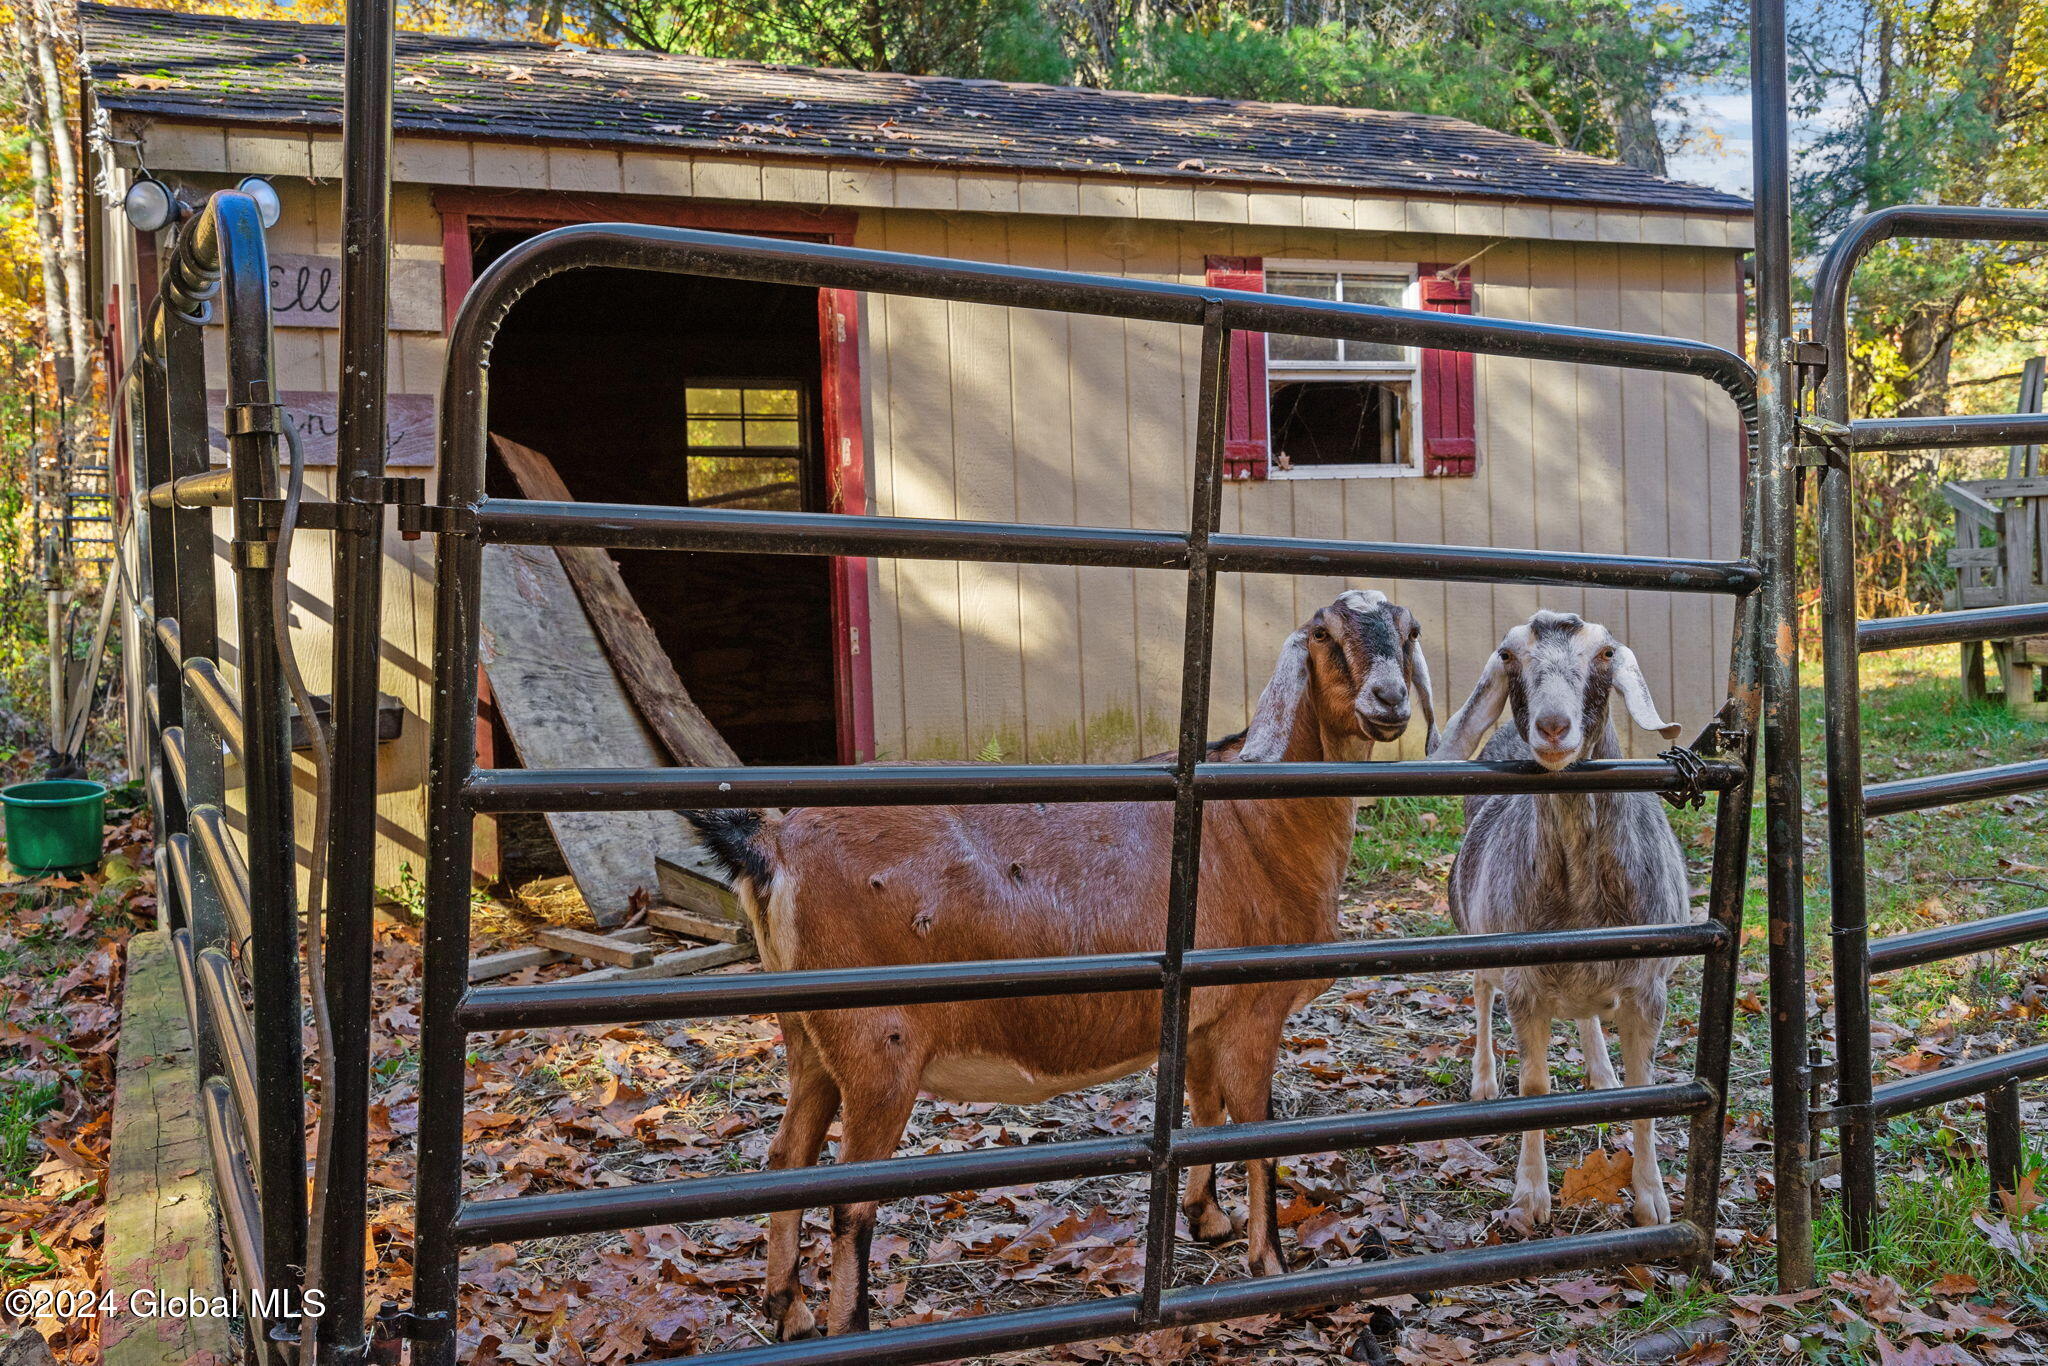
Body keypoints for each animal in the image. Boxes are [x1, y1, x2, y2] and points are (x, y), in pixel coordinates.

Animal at [688, 589, 1441, 1335]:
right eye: (1323, 634)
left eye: (1409, 630)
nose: (1388, 699)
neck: (1260, 826)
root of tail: (773, 844)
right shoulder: (1252, 1010)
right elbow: (1257, 1133)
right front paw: (1273, 1267)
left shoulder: (1204, 1014)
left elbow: (1202, 1113)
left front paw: (1208, 1219)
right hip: (879, 1044)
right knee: (851, 1199)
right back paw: (848, 1325)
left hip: (809, 1034)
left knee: (788, 1158)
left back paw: (789, 1309)